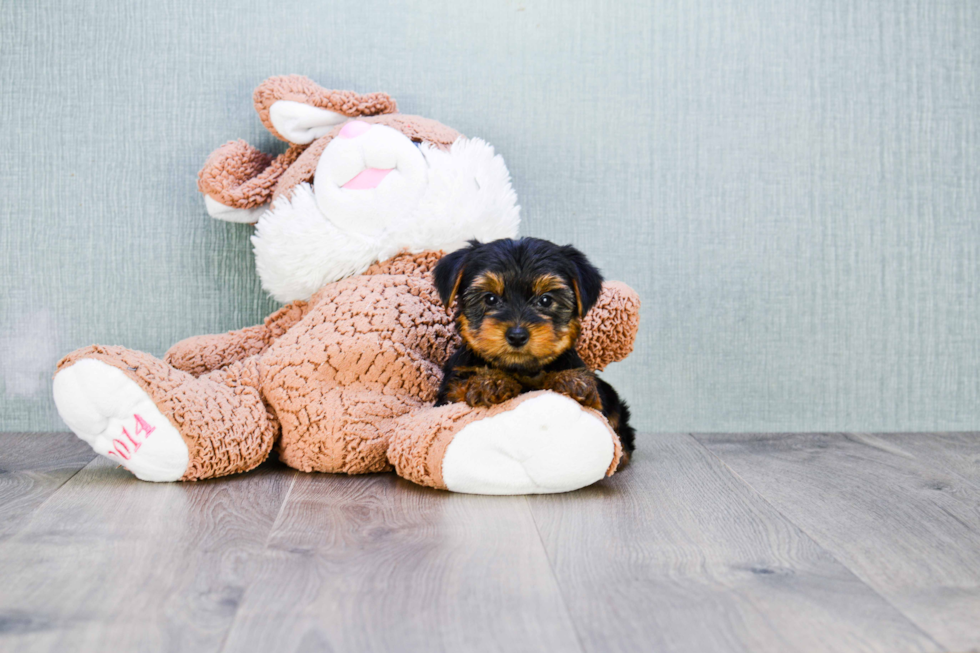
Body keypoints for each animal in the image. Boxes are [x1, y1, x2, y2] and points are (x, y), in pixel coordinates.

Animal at [434, 237, 636, 460]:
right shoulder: (448, 393)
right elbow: (460, 388)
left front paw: (573, 381)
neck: (522, 369)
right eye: (490, 298)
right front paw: (490, 382)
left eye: (545, 300)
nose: (517, 335)